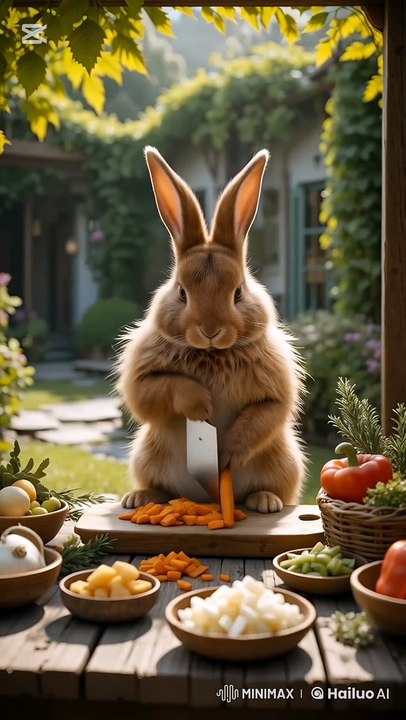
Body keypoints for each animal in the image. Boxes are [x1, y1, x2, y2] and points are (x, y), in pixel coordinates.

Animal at [115, 145, 308, 513]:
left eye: (238, 292)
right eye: (181, 292)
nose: (210, 330)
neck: (210, 354)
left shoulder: (274, 395)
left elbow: (265, 415)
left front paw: (227, 453)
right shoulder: (142, 381)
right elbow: (159, 390)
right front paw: (202, 404)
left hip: (283, 459)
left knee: (268, 485)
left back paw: (266, 501)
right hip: (147, 454)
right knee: (162, 488)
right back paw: (140, 497)